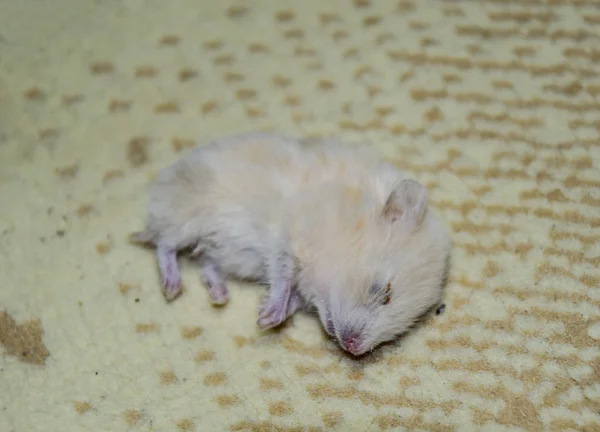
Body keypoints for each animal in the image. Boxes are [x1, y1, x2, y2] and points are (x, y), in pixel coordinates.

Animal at [130, 132, 450, 354]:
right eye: (383, 291)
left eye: (408, 322)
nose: (353, 350)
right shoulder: (287, 240)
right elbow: (283, 277)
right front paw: (266, 318)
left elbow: (293, 294)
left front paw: (268, 310)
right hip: (187, 220)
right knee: (165, 244)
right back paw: (172, 285)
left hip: (219, 250)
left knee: (206, 263)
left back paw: (220, 295)